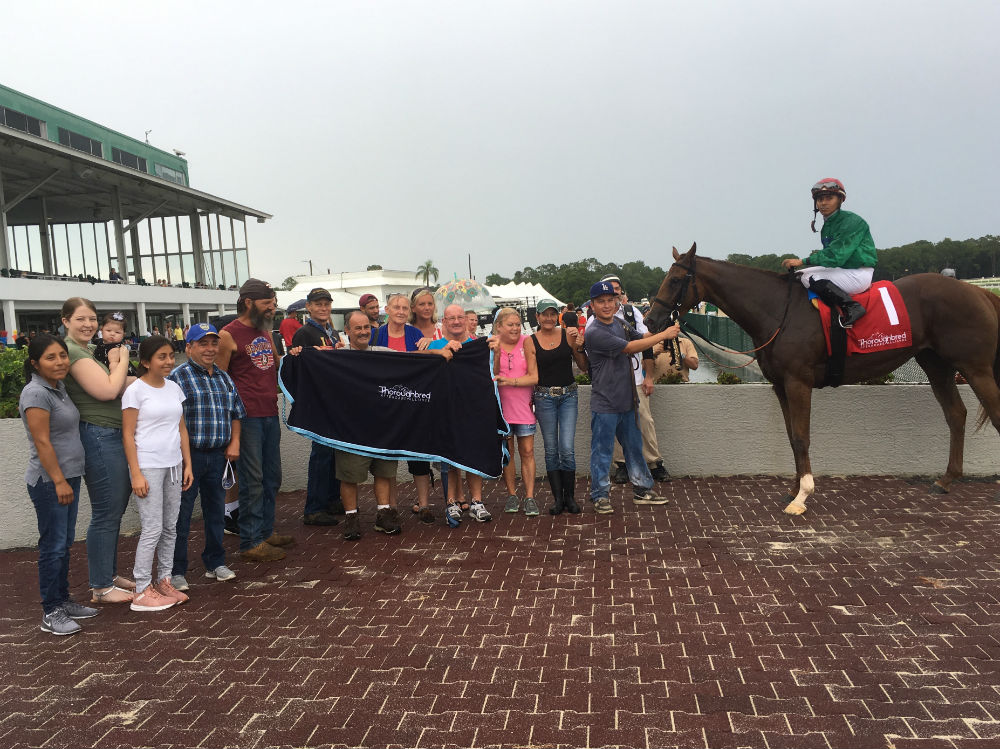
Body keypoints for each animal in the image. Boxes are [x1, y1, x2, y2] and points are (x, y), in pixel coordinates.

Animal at [640, 244, 1000, 516]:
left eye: (675, 279)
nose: (651, 319)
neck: (779, 311)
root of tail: (977, 291)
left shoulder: (798, 381)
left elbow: (802, 437)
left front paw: (802, 495)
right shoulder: (780, 385)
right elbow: (791, 436)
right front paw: (794, 488)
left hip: (975, 366)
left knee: (992, 414)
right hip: (936, 364)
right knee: (956, 414)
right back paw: (945, 480)